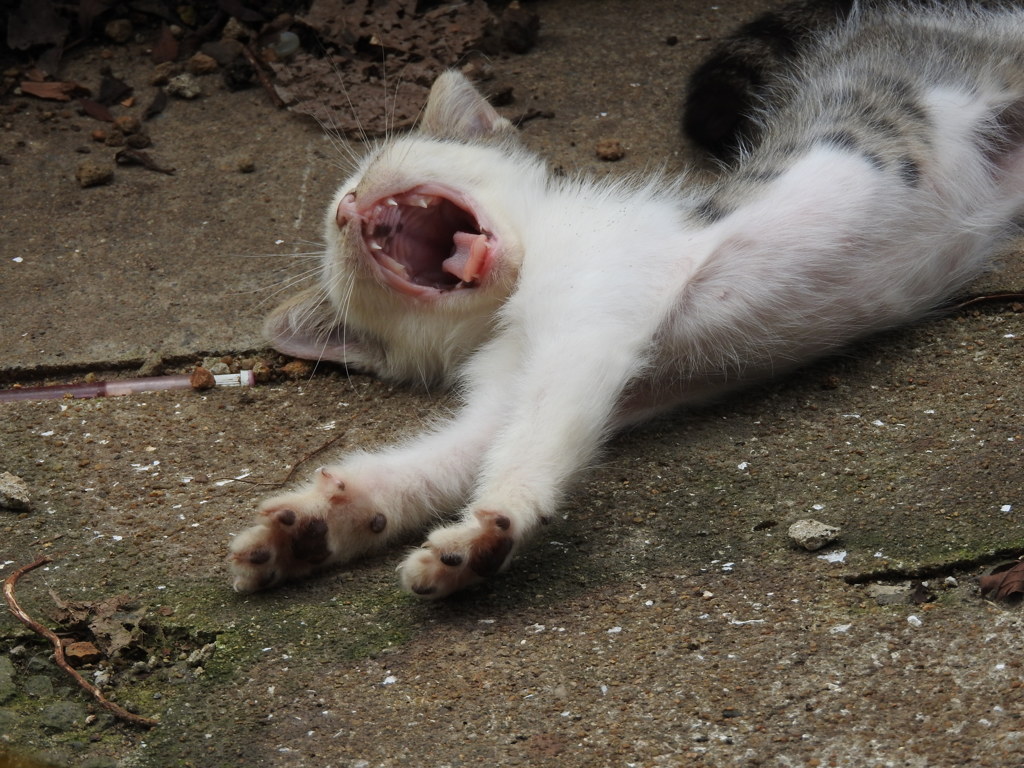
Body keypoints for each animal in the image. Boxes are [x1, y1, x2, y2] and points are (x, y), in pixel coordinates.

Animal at [228, 4, 1024, 602]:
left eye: (368, 166)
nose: (346, 207)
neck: (516, 290)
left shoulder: (590, 318)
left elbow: (531, 438)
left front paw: (492, 523)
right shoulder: (510, 379)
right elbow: (452, 454)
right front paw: (320, 523)